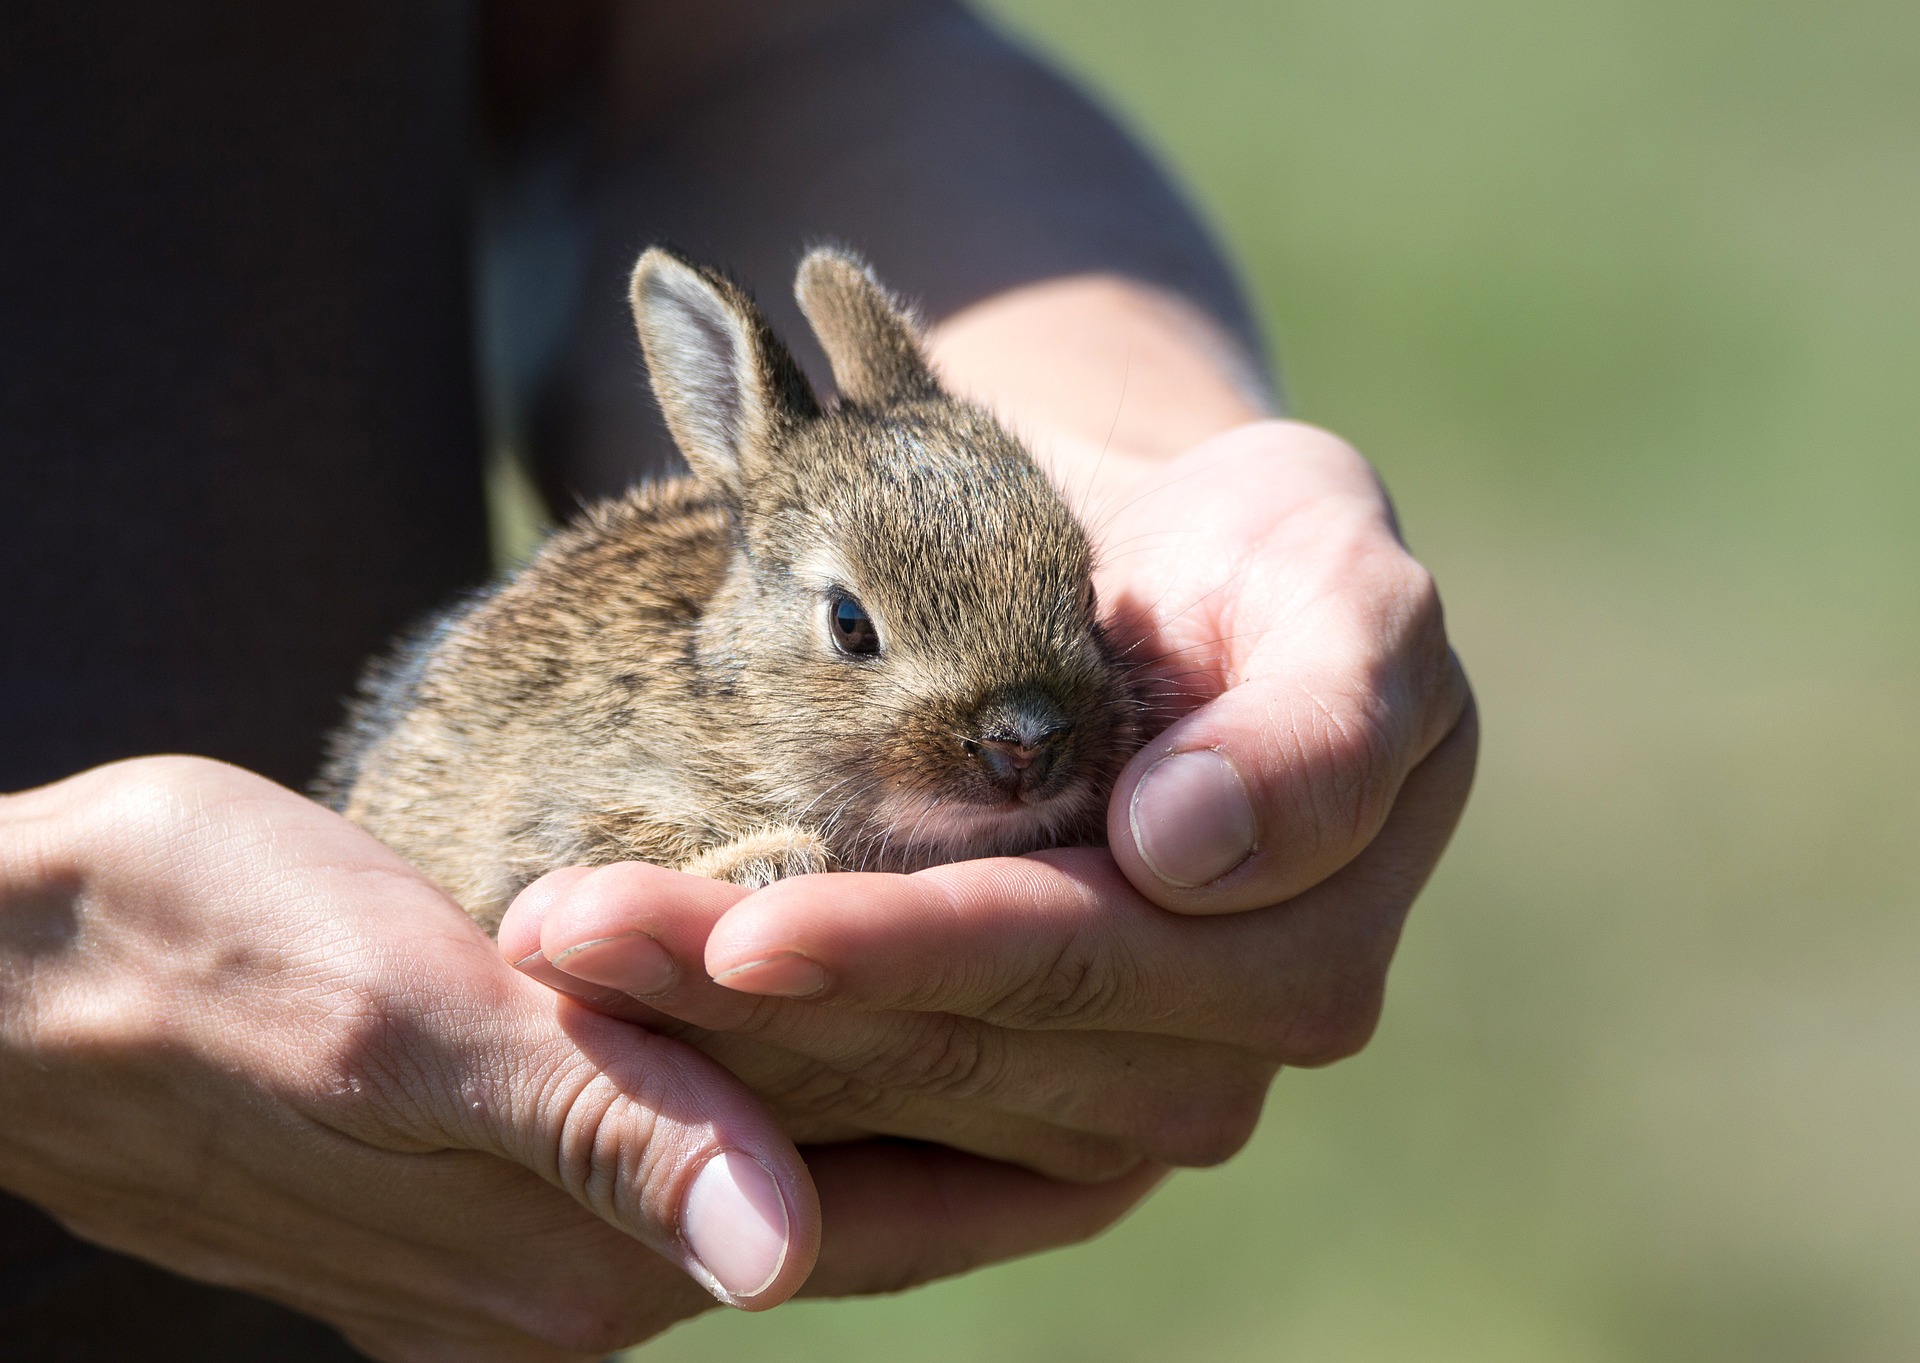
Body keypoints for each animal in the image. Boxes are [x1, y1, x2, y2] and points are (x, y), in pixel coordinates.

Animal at [322, 245, 1136, 932]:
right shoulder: (553, 816)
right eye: (849, 623)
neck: (738, 706)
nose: (1025, 741)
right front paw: (771, 860)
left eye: (1088, 594)